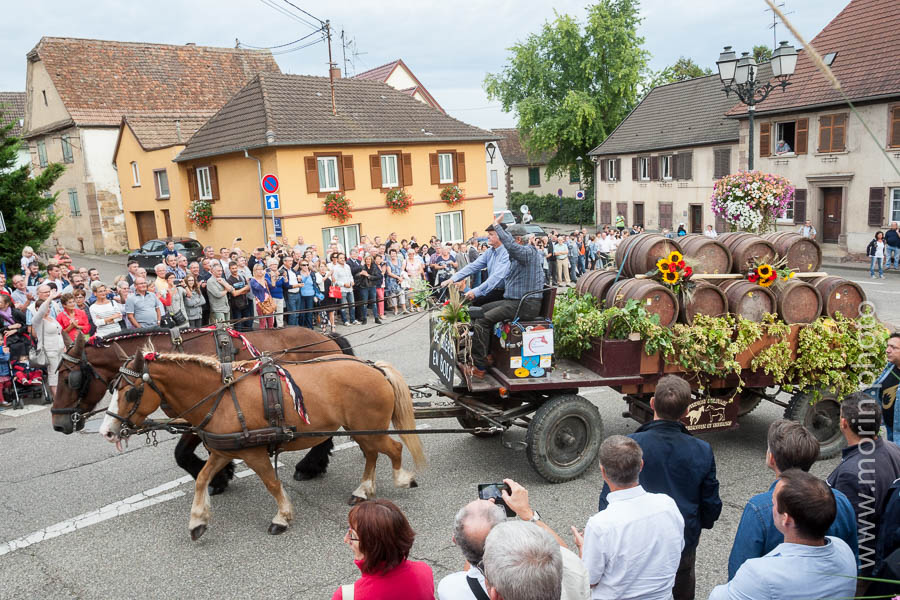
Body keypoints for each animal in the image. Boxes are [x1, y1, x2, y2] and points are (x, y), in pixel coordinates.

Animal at [49, 328, 352, 492]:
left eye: (69, 378)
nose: (58, 423)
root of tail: (326, 336)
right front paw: (222, 472)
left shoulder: (198, 411)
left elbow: (181, 453)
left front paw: (218, 478)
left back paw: (309, 465)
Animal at [103, 352, 428, 540]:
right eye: (113, 388)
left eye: (130, 393)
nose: (107, 431)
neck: (220, 397)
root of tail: (374, 367)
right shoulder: (224, 450)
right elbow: (202, 480)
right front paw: (197, 521)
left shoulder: (253, 452)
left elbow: (272, 483)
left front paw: (282, 517)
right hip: (359, 429)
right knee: (373, 453)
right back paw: (363, 490)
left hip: (369, 428)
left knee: (393, 449)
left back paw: (402, 479)